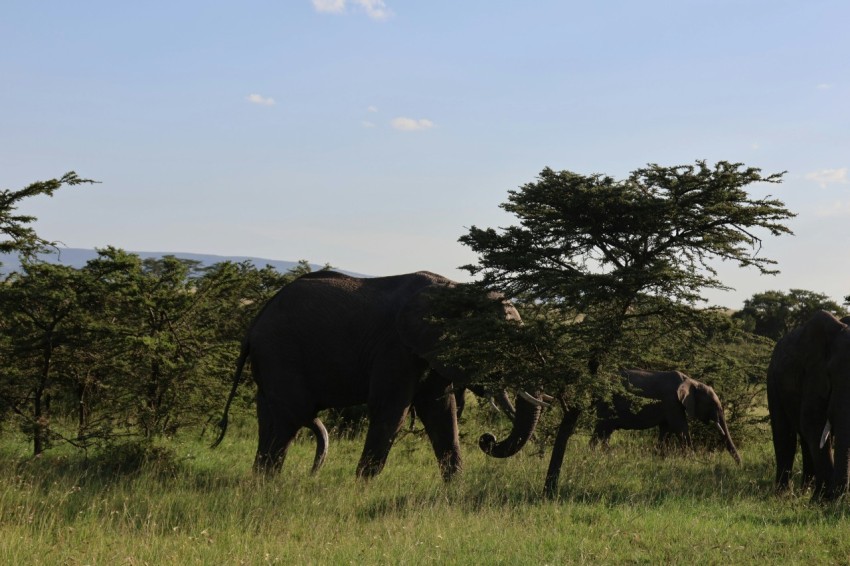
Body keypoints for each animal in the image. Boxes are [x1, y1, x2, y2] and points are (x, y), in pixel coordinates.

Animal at [211, 272, 544, 482]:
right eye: (500, 344)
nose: (487, 439)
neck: (457, 290)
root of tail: (254, 325)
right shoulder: (395, 348)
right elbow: (391, 412)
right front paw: (361, 487)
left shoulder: (429, 350)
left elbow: (442, 414)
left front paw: (455, 489)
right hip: (280, 353)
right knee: (287, 419)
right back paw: (267, 486)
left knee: (270, 418)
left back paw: (260, 481)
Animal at [592, 368, 740, 466]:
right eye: (712, 404)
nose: (739, 465)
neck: (691, 381)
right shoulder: (672, 402)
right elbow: (680, 428)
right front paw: (693, 462)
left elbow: (666, 430)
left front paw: (659, 459)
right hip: (606, 404)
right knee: (601, 430)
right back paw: (595, 454)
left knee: (605, 433)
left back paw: (604, 455)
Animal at [760, 310, 848, 502]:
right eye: (830, 373)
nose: (838, 497)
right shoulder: (814, 373)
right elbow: (812, 423)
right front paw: (823, 500)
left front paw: (823, 499)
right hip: (773, 379)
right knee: (785, 435)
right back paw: (784, 494)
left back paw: (804, 491)